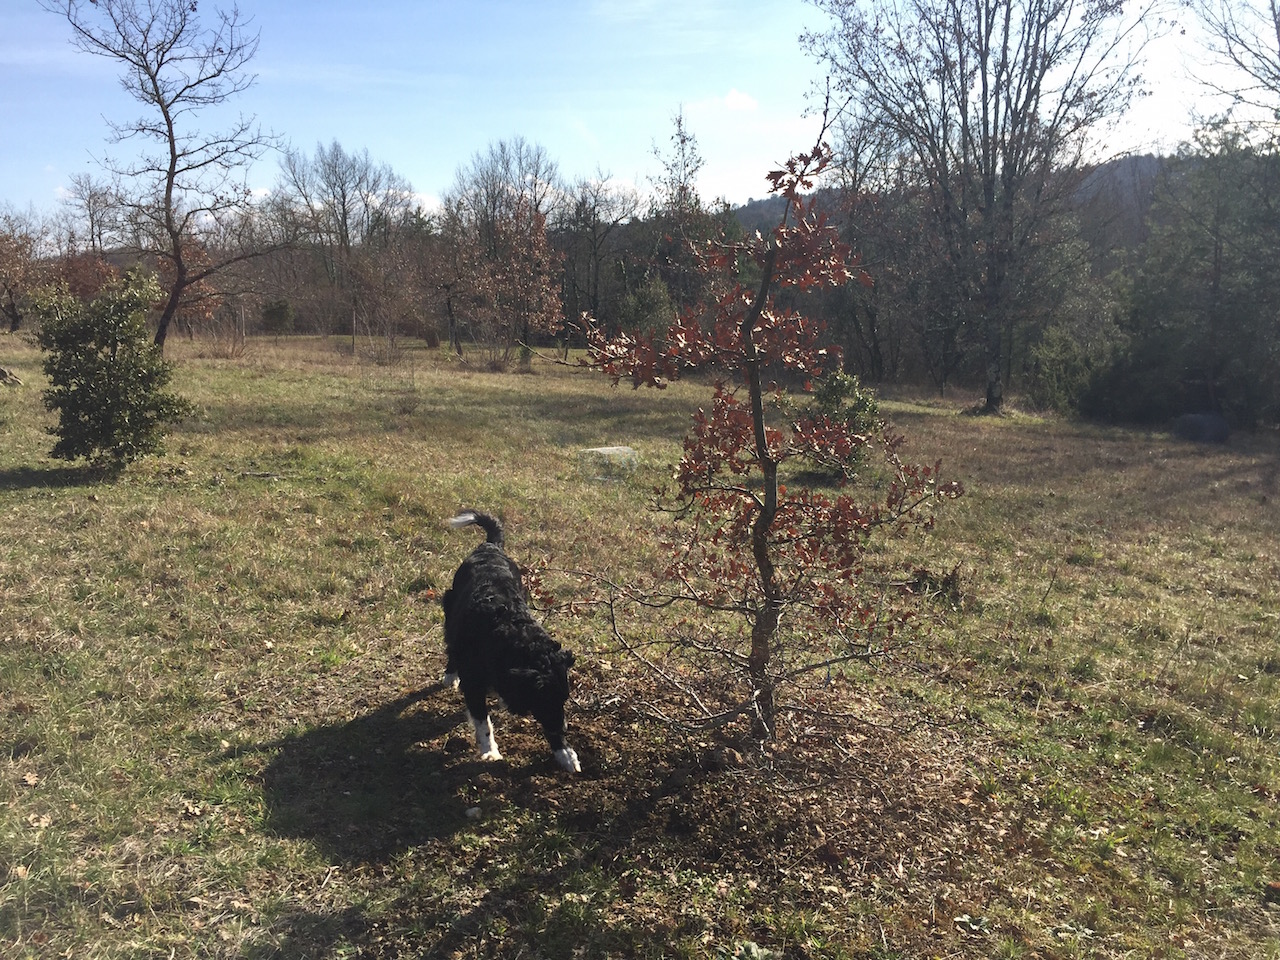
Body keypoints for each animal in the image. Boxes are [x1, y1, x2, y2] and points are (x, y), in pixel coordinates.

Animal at [440, 512, 581, 773]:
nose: (564, 729)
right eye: (545, 700)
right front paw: (490, 752)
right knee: (450, 647)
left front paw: (565, 753)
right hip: (450, 606)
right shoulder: (473, 683)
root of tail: (490, 546)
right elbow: (482, 722)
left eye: (563, 699)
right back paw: (450, 674)